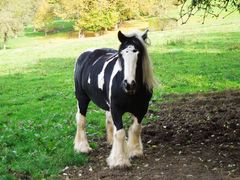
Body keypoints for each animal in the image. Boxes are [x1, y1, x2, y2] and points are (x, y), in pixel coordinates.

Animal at [74, 29, 155, 167]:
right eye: (121, 55)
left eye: (139, 54)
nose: (129, 84)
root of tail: (85, 54)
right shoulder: (117, 109)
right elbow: (121, 132)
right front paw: (120, 161)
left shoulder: (141, 109)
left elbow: (136, 129)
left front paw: (134, 151)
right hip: (82, 98)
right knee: (81, 120)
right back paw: (82, 147)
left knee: (108, 119)